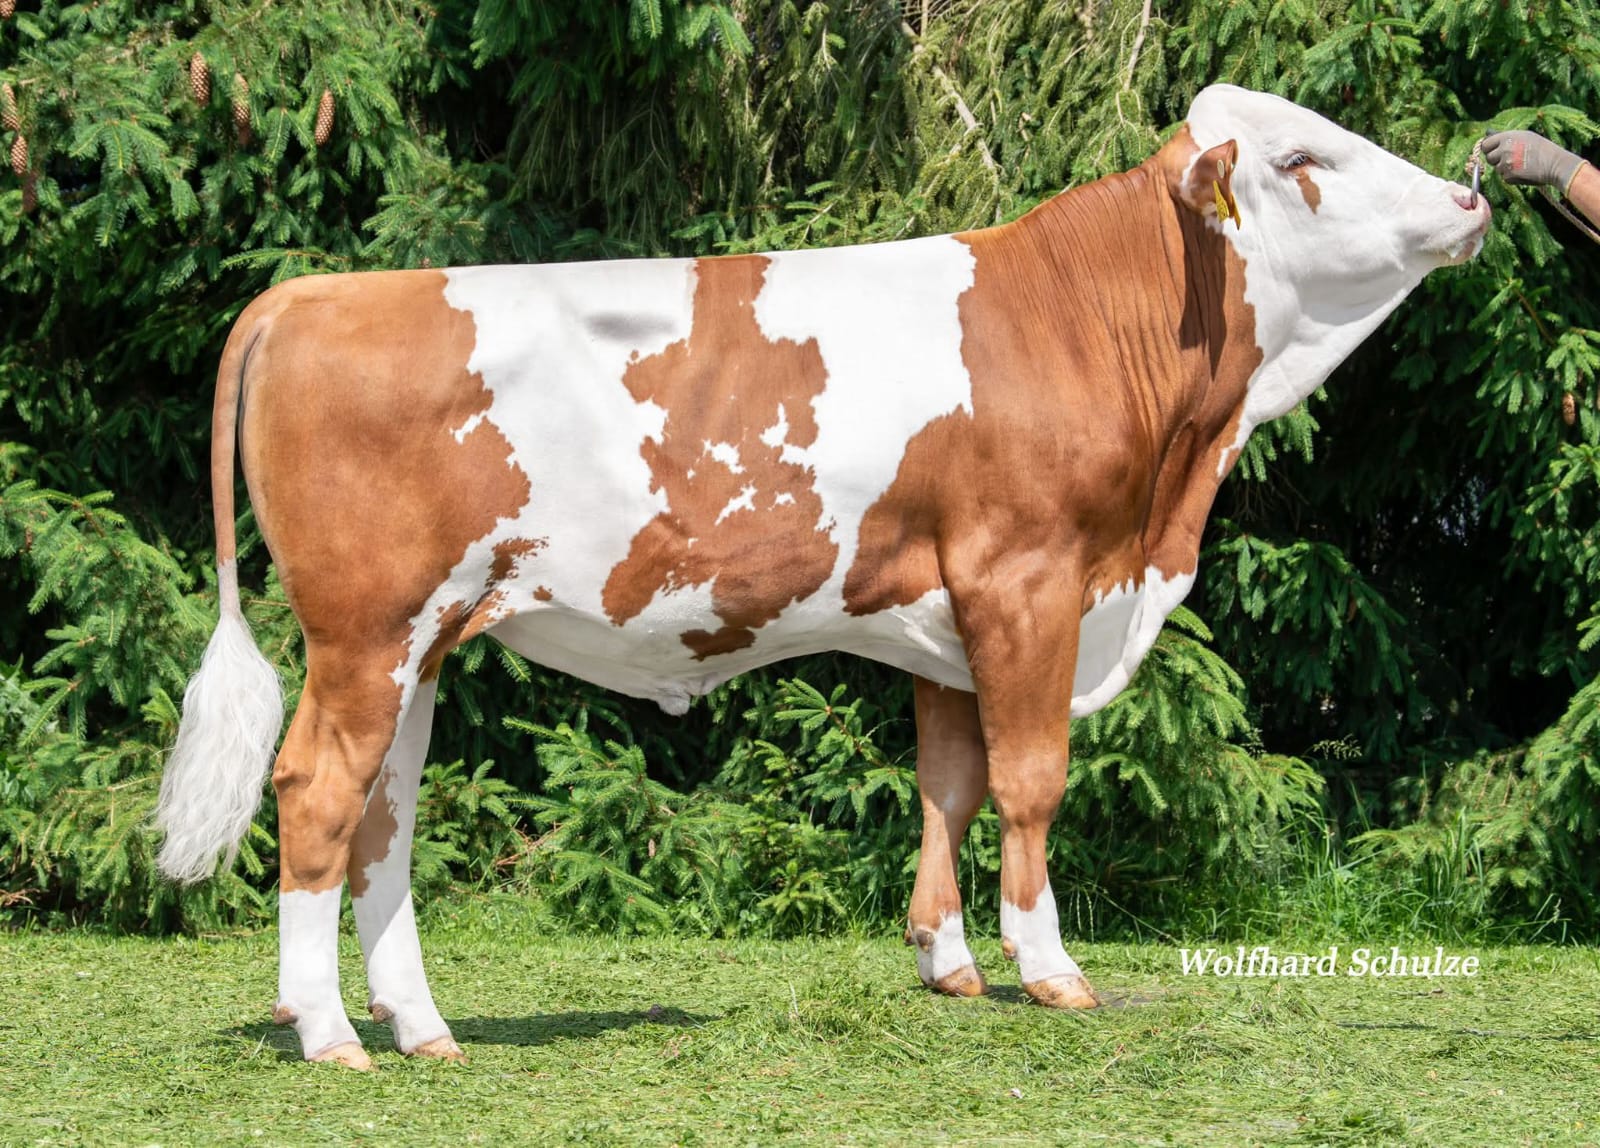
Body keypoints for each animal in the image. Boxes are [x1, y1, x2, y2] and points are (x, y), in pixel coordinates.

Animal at [154, 85, 1489, 1069]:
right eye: (1305, 158)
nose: (1471, 192)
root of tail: (312, 291)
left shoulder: (952, 613)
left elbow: (950, 782)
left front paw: (949, 961)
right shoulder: (1029, 574)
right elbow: (1032, 779)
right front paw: (1051, 968)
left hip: (426, 637)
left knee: (384, 811)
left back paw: (420, 1024)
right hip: (367, 625)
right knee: (317, 789)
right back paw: (328, 1031)